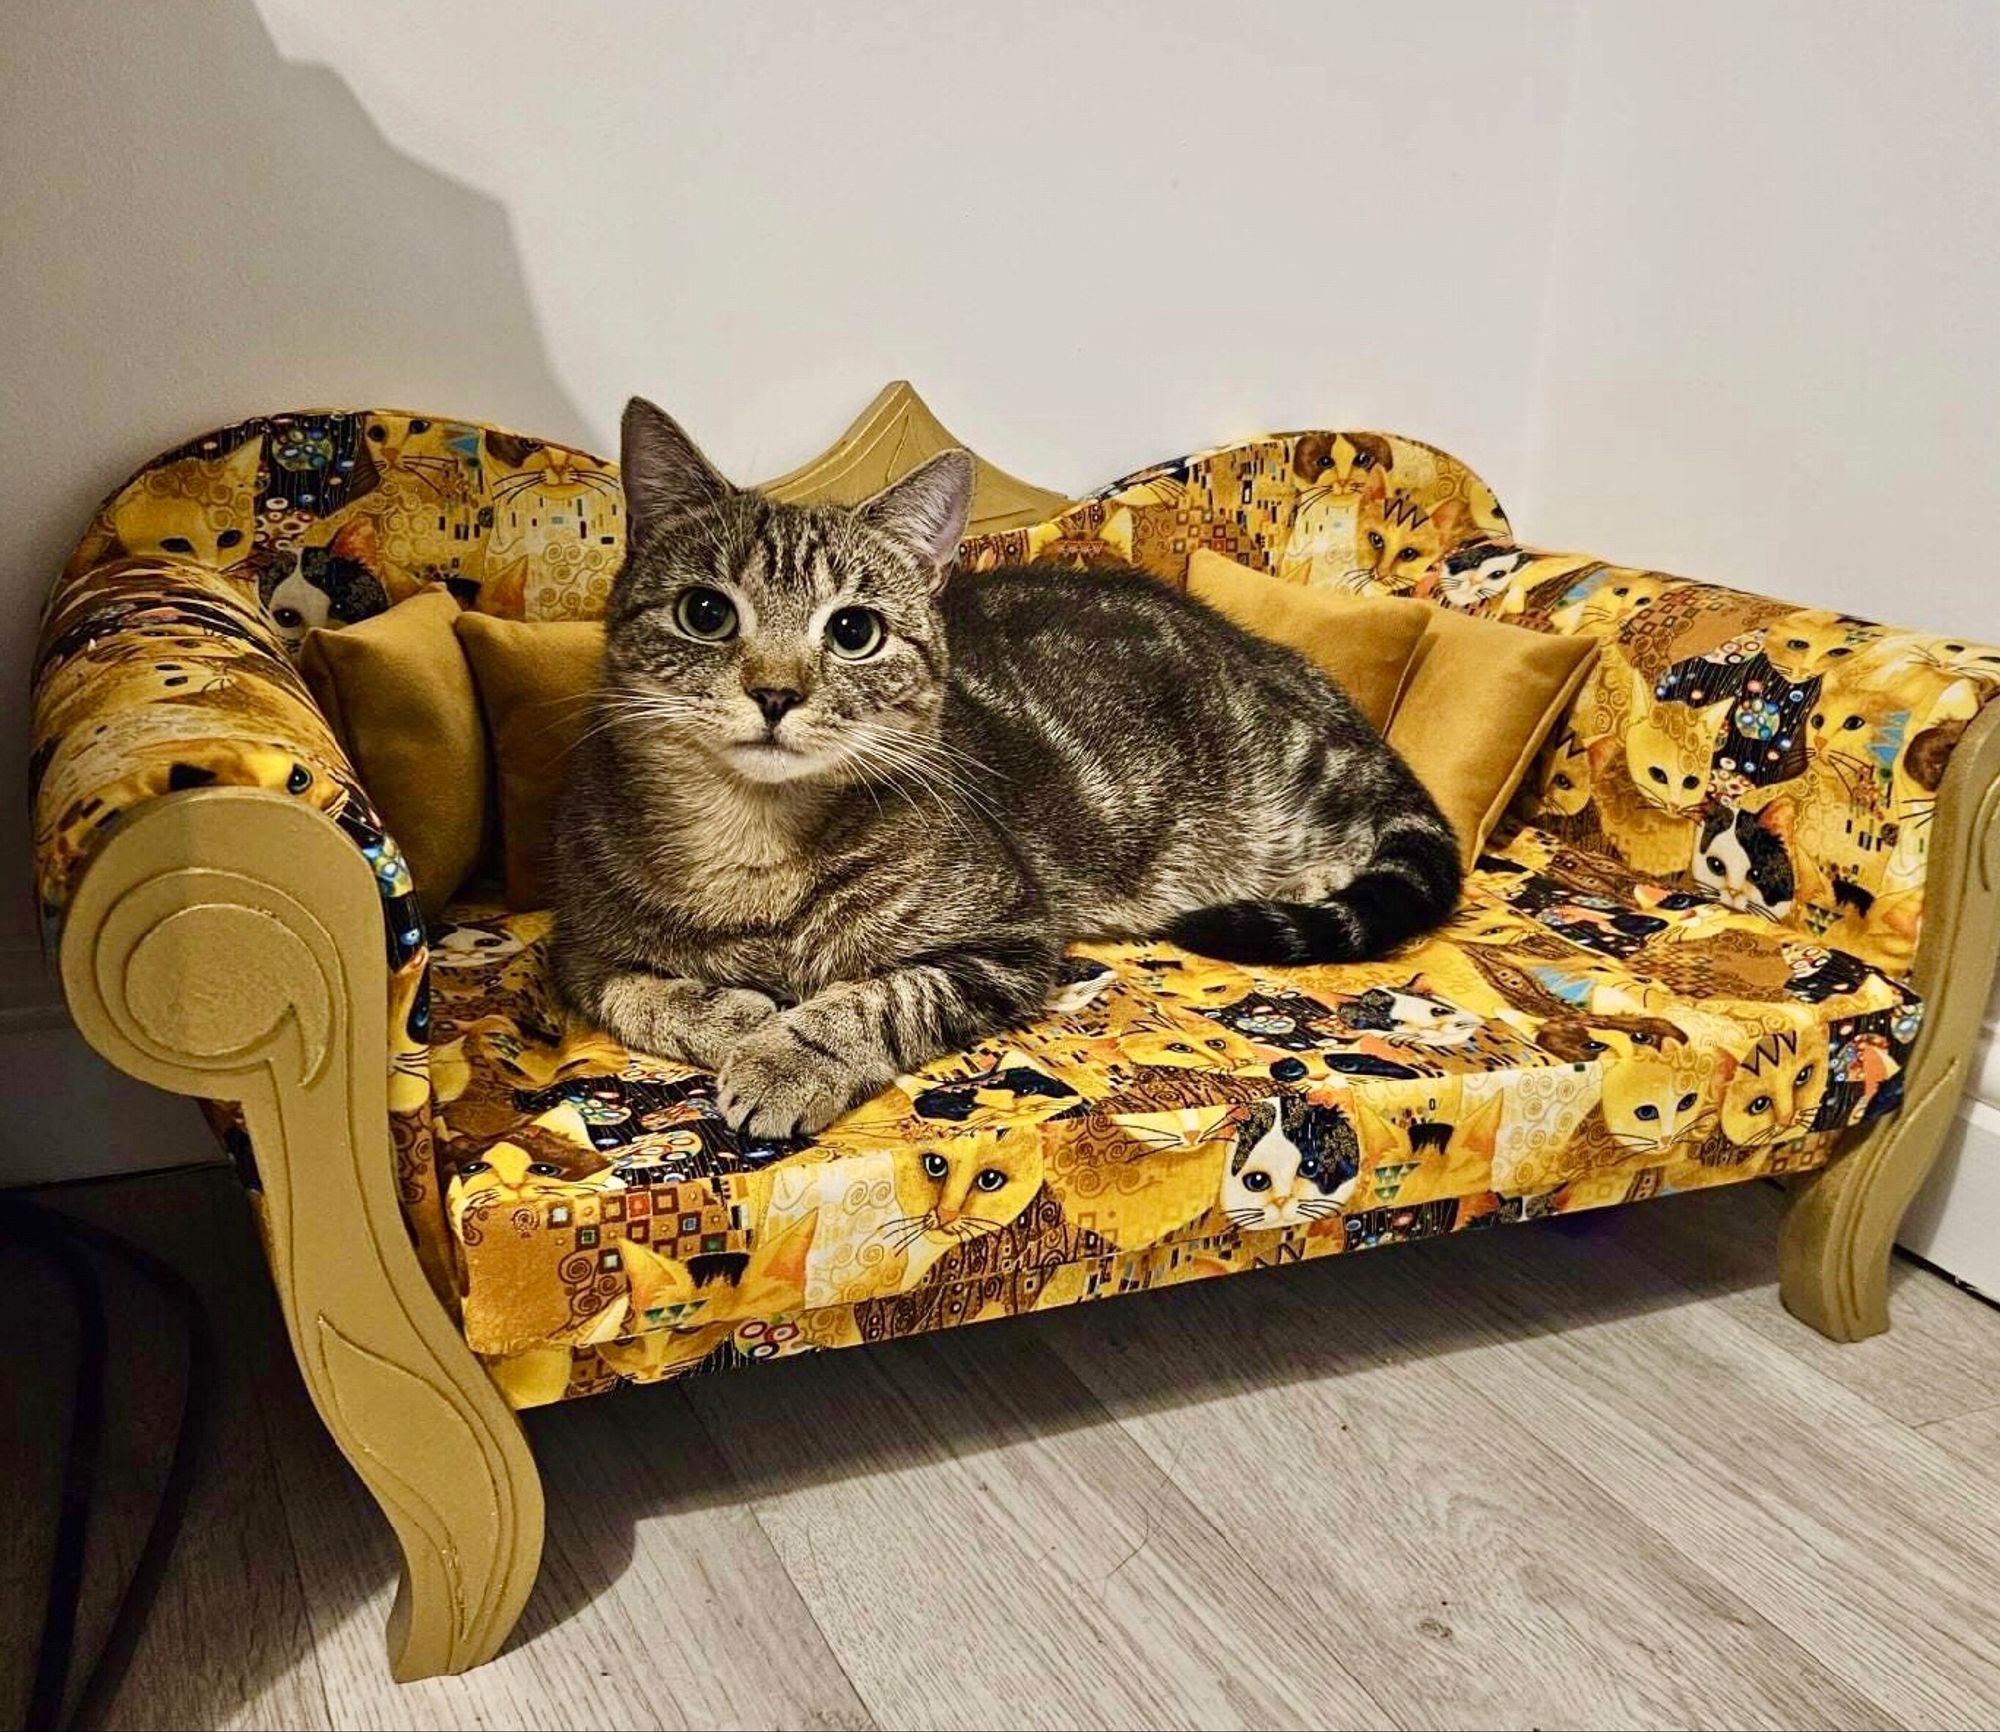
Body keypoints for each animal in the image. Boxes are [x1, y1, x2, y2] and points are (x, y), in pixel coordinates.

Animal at [556, 398, 1464, 1144]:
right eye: (706, 612)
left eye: (854, 631)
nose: (776, 692)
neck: (758, 854)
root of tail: (1303, 674)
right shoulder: (573, 941)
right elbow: (626, 990)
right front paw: (732, 1015)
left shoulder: (1014, 938)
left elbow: (881, 999)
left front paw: (789, 1055)